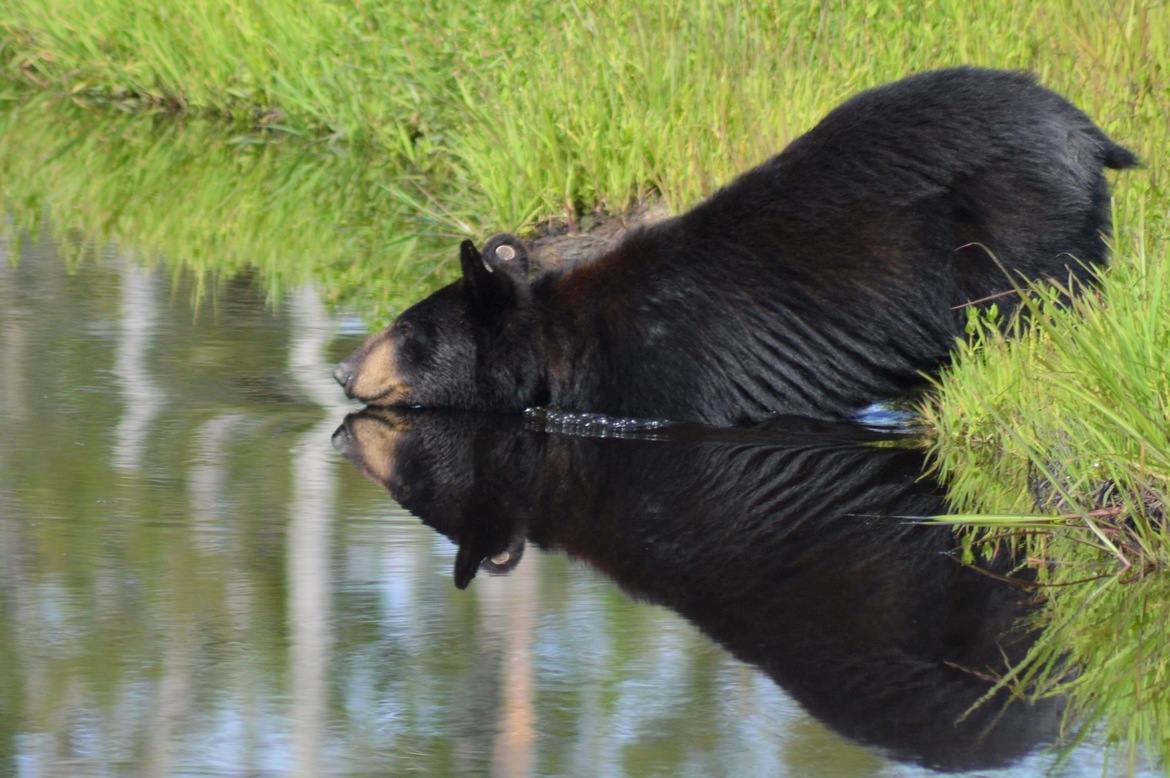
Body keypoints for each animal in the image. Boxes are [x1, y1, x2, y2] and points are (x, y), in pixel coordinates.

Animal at [334, 67, 1137, 425]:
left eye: (406, 331)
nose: (341, 368)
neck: (565, 346)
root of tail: (1084, 129)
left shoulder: (668, 386)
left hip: (1023, 229)